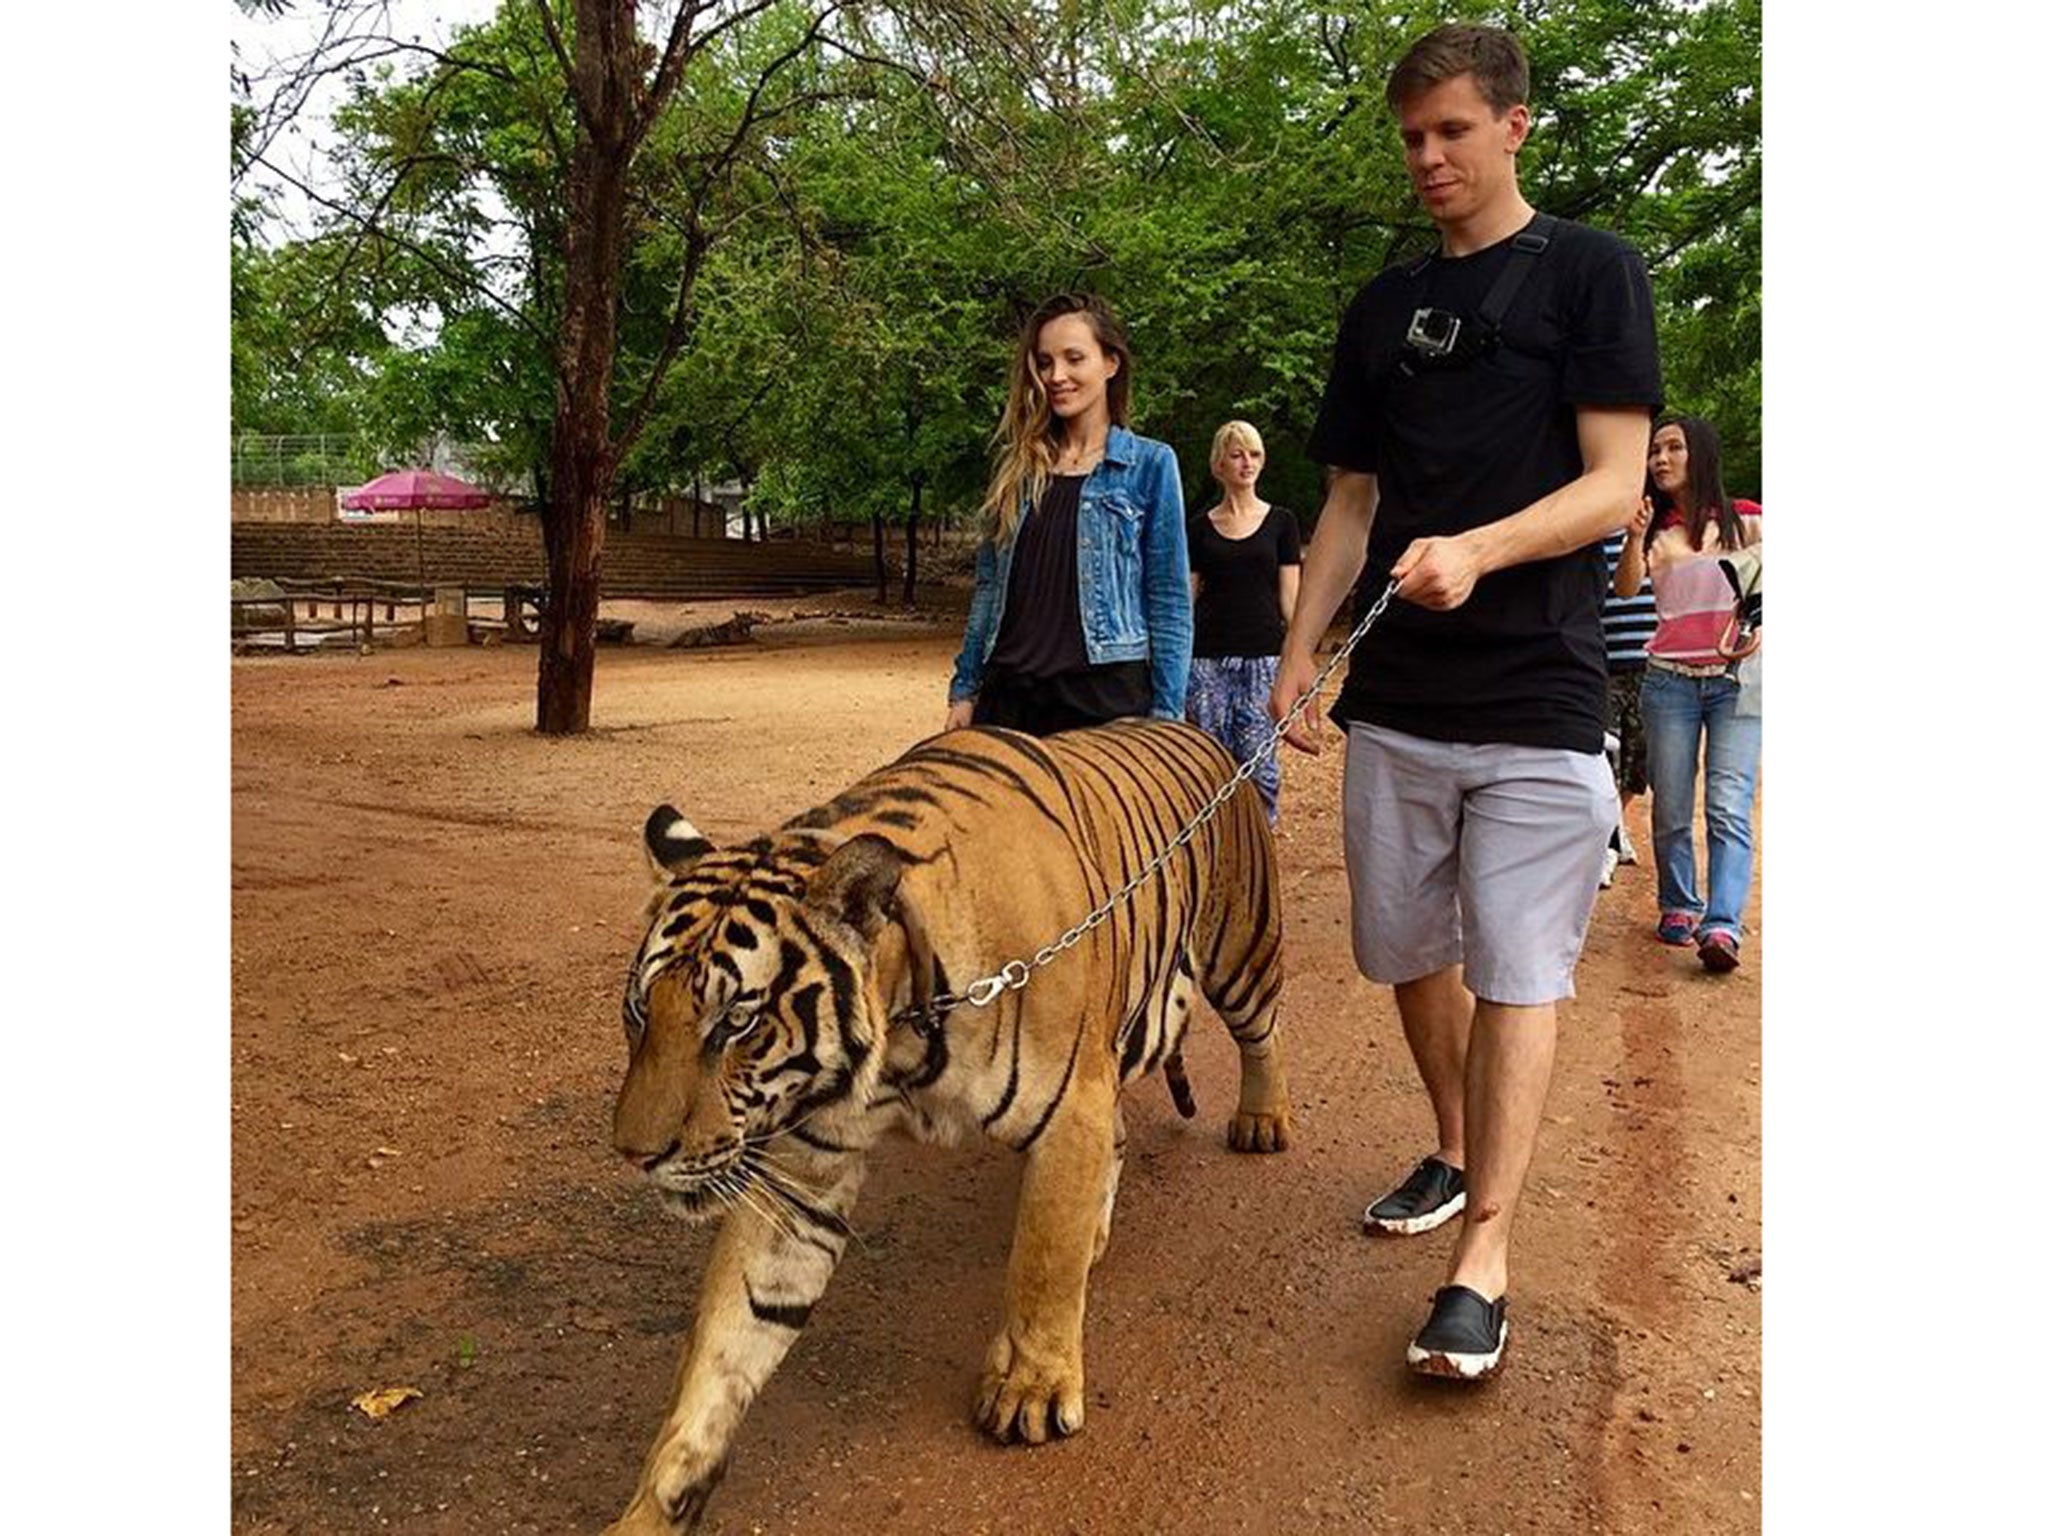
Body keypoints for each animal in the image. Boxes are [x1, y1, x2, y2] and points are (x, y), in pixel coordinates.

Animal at [598, 720, 1286, 1536]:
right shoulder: (802, 1175)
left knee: (1263, 1033)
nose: (636, 1154)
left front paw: (1031, 1390)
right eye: (641, 1010)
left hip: (1242, 954)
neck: (898, 1032)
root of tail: (1198, 730)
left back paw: (1262, 1119)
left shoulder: (1069, 1109)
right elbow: (727, 1343)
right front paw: (656, 1503)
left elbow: (1040, 1261)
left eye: (736, 1021)